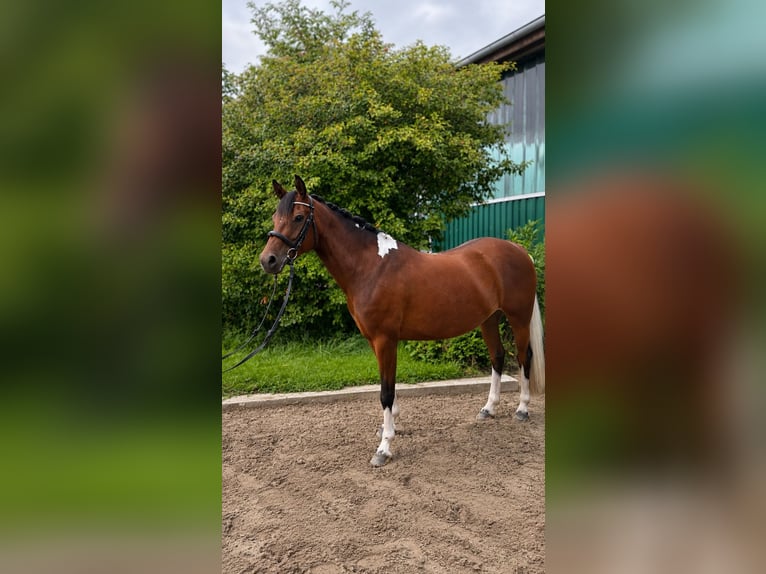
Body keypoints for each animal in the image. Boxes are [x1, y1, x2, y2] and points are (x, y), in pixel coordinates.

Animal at [260, 175, 545, 466]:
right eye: (275, 217)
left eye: (298, 217)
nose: (268, 260)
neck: (371, 267)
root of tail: (519, 250)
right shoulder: (376, 341)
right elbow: (390, 387)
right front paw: (390, 427)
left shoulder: (385, 339)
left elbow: (386, 392)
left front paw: (384, 448)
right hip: (488, 319)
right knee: (498, 357)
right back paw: (488, 409)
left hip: (518, 318)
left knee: (524, 357)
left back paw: (522, 409)